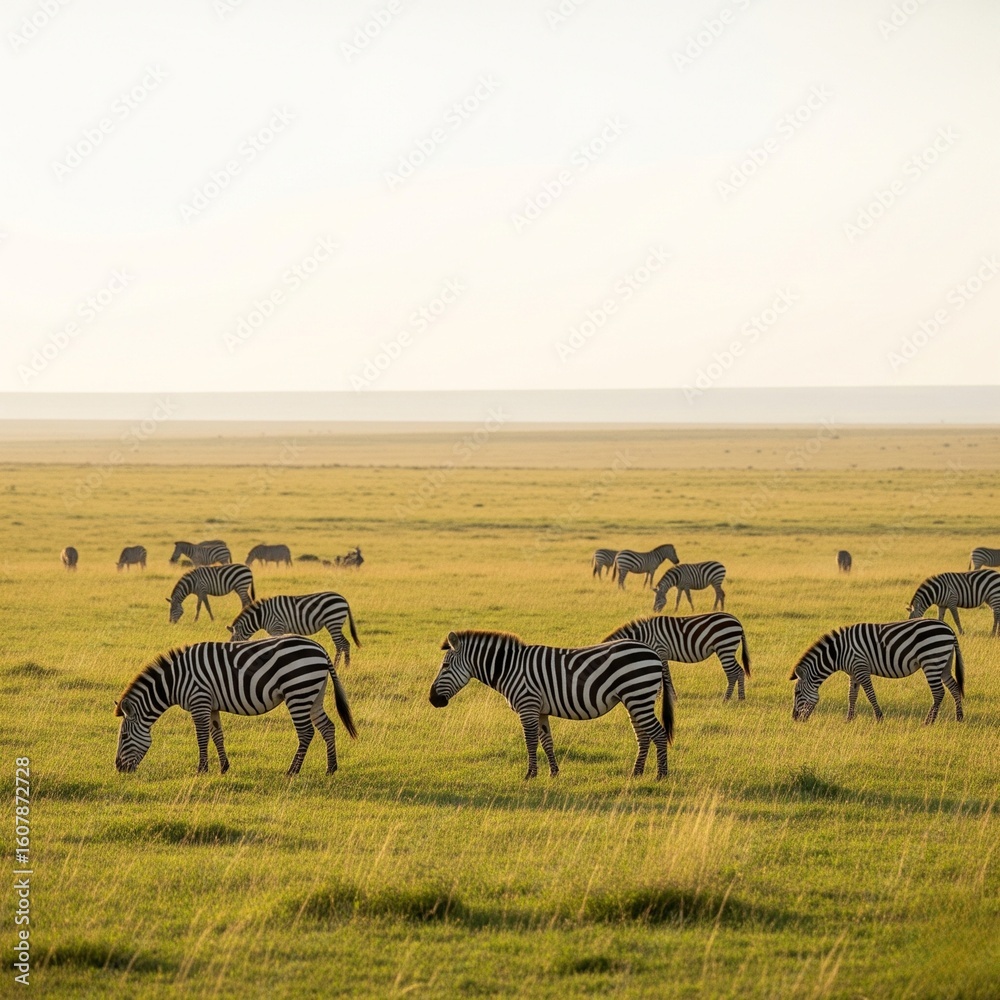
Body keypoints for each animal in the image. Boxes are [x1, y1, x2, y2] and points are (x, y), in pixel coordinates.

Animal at [114, 635, 357, 775]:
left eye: (124, 737)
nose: (118, 768)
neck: (175, 680)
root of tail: (320, 648)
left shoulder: (199, 700)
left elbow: (202, 736)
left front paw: (202, 769)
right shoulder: (211, 705)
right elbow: (217, 735)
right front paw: (223, 767)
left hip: (298, 691)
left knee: (306, 732)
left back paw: (292, 771)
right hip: (313, 693)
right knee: (327, 727)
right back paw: (331, 768)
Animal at [228, 592, 361, 668]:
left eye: (234, 640)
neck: (262, 616)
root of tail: (343, 599)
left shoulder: (277, 627)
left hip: (333, 621)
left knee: (339, 644)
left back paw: (337, 666)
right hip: (335, 624)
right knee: (345, 643)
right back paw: (346, 666)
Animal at [429, 630, 673, 780]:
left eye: (445, 665)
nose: (432, 699)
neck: (508, 668)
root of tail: (652, 652)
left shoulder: (527, 705)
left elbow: (530, 741)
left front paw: (530, 774)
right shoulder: (540, 711)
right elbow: (547, 742)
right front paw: (554, 773)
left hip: (639, 695)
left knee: (659, 734)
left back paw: (661, 775)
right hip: (633, 700)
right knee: (643, 736)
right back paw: (636, 773)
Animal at [604, 613, 750, 702]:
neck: (644, 636)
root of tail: (737, 622)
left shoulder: (660, 651)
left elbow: (666, 677)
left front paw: (669, 698)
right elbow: (661, 678)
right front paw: (660, 698)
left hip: (724, 647)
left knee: (733, 673)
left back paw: (726, 699)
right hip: (727, 649)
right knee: (740, 671)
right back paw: (741, 698)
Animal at [790, 619, 964, 724]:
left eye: (797, 693)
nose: (794, 718)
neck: (838, 653)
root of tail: (948, 628)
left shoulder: (861, 667)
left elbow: (870, 693)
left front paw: (879, 718)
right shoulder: (853, 673)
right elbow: (852, 696)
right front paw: (849, 719)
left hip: (932, 661)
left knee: (939, 692)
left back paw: (929, 721)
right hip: (944, 663)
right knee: (954, 688)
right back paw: (959, 717)